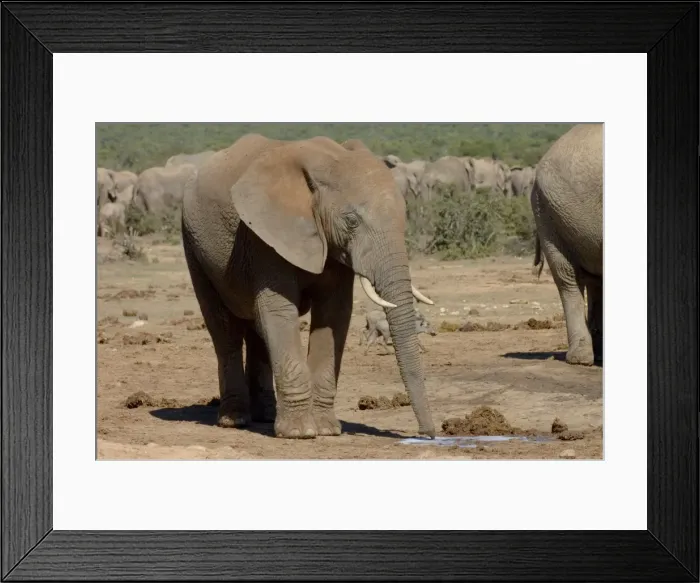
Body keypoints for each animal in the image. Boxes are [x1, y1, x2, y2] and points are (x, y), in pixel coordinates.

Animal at [181, 133, 437, 439]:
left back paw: (265, 416)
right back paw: (235, 419)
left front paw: (326, 430)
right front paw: (299, 433)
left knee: (257, 329)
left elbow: (334, 314)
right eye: (351, 221)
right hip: (193, 244)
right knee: (224, 330)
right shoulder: (263, 236)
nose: (428, 434)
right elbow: (280, 312)